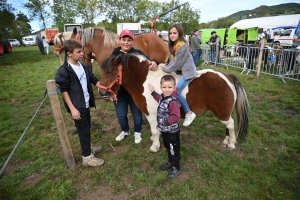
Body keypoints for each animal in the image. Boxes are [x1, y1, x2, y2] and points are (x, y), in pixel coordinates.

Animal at [97, 54, 250, 152]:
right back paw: (226, 141)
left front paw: (155, 147)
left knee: (230, 124)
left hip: (222, 112)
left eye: (110, 71)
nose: (101, 92)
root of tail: (228, 76)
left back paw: (231, 144)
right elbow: (157, 131)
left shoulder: (151, 115)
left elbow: (154, 130)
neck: (145, 80)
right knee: (228, 125)